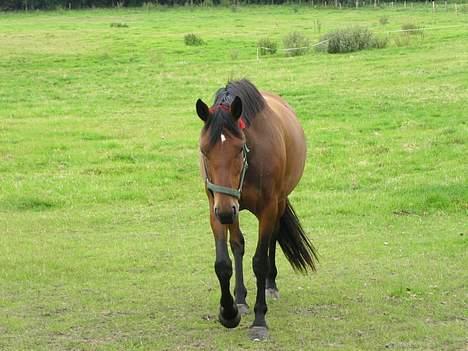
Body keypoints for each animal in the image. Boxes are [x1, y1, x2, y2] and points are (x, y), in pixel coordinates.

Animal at [194, 79, 318, 340]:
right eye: (204, 150)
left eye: (240, 148)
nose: (225, 211)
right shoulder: (218, 206)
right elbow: (224, 262)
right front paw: (229, 312)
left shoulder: (267, 208)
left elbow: (260, 261)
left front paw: (260, 320)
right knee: (238, 245)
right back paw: (240, 298)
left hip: (277, 203)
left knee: (272, 239)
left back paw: (271, 285)